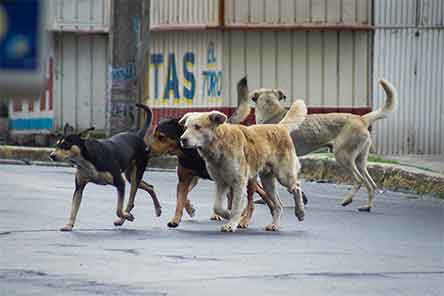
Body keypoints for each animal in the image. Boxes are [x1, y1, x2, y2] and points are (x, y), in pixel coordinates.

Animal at [179, 100, 306, 232]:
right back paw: (275, 225)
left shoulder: (239, 182)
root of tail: (279, 127)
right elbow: (217, 206)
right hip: (267, 182)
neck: (219, 144)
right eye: (185, 127)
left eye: (197, 127)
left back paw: (300, 212)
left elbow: (236, 206)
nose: (182, 139)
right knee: (278, 205)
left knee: (296, 187)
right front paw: (228, 215)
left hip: (283, 175)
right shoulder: (221, 182)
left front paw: (231, 223)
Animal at [248, 78, 398, 210]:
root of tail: (361, 118)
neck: (272, 111)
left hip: (343, 157)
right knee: (371, 184)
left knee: (359, 180)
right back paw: (367, 207)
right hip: (360, 160)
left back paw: (347, 200)